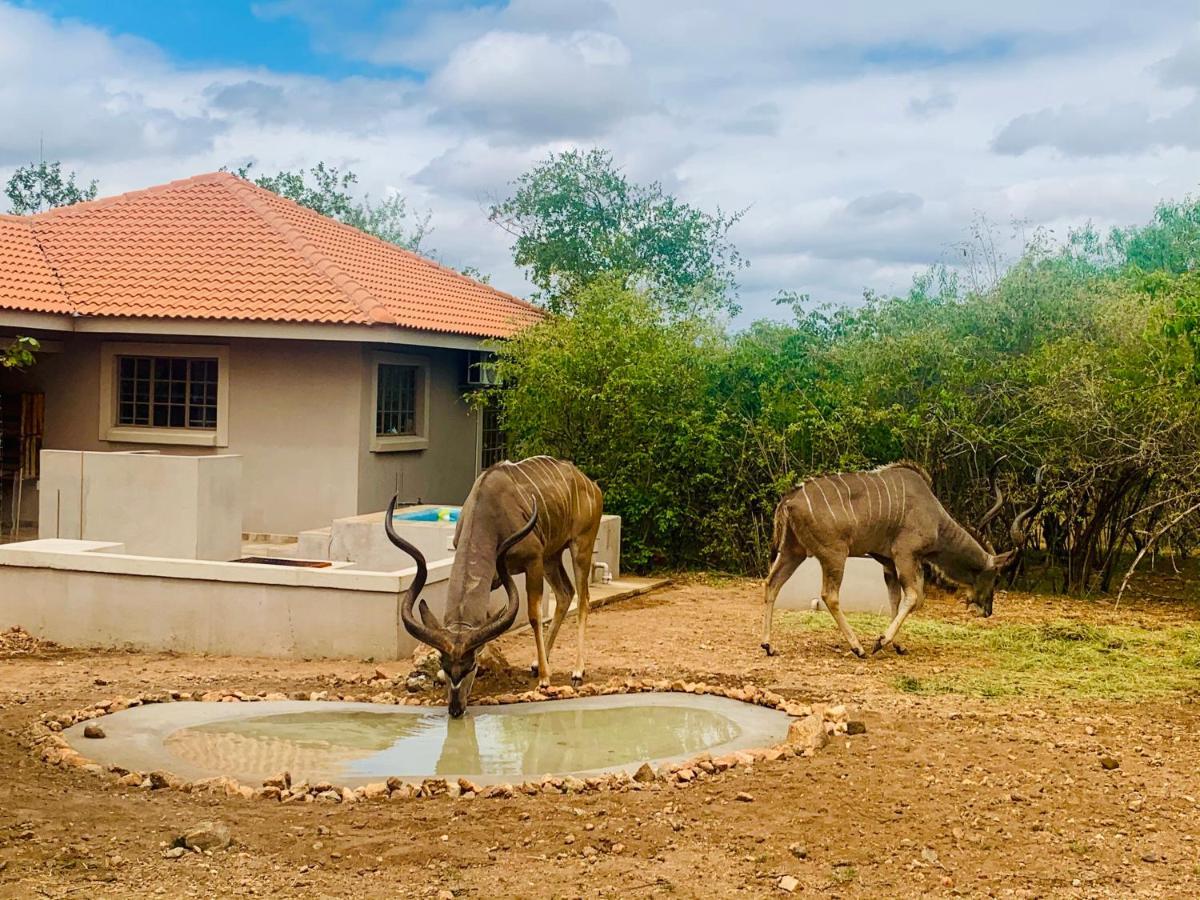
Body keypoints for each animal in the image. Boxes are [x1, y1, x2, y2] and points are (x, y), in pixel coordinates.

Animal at [388, 458, 604, 720]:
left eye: (470, 666)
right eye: (444, 665)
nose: (455, 708)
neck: (489, 512)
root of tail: (591, 485)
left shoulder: (533, 559)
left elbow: (534, 615)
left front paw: (545, 679)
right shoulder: (497, 576)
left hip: (580, 546)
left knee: (583, 599)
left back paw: (576, 671)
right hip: (552, 557)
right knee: (565, 593)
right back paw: (537, 664)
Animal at [763, 460, 1036, 657]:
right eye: (996, 577)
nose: (987, 610)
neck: (935, 518)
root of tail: (788, 500)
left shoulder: (888, 562)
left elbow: (895, 599)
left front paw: (897, 645)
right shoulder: (904, 555)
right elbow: (914, 597)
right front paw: (880, 641)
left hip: (793, 552)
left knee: (771, 584)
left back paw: (768, 646)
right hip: (834, 555)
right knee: (829, 595)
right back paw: (857, 647)